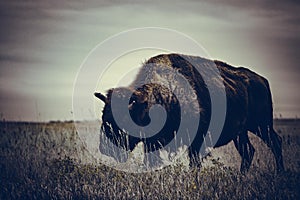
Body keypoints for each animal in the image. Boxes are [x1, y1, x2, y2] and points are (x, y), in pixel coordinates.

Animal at [95, 53, 284, 173]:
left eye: (124, 119)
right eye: (104, 117)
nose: (106, 149)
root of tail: (262, 80)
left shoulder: (197, 140)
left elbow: (194, 162)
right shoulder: (153, 143)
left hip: (262, 125)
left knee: (275, 143)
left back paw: (279, 173)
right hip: (242, 133)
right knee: (248, 151)